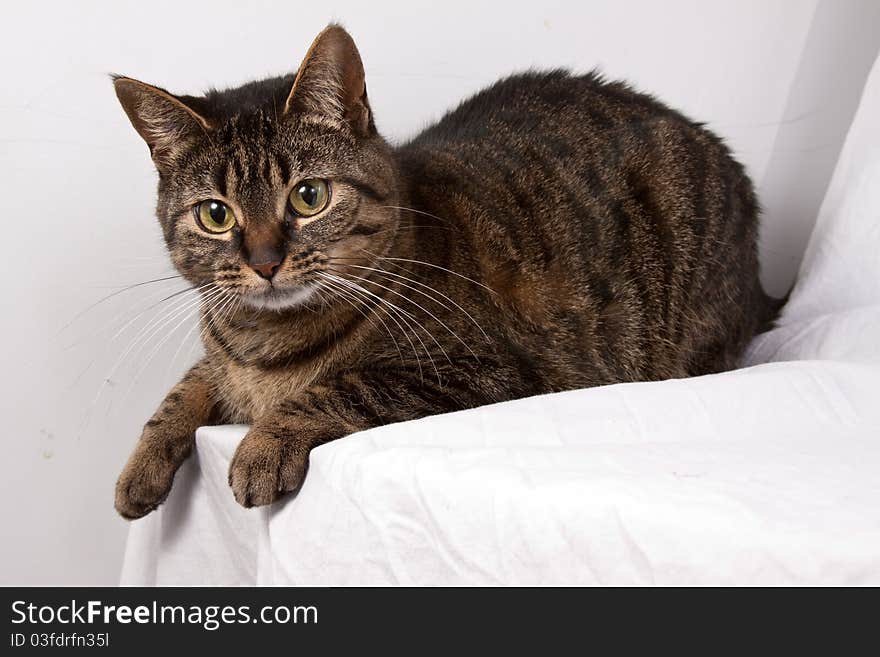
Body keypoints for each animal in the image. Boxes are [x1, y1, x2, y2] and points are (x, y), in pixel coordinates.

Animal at [113, 24, 780, 516]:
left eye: (308, 197)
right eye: (216, 214)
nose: (265, 262)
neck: (262, 346)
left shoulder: (488, 371)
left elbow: (341, 386)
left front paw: (262, 446)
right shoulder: (220, 357)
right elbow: (185, 388)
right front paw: (138, 468)